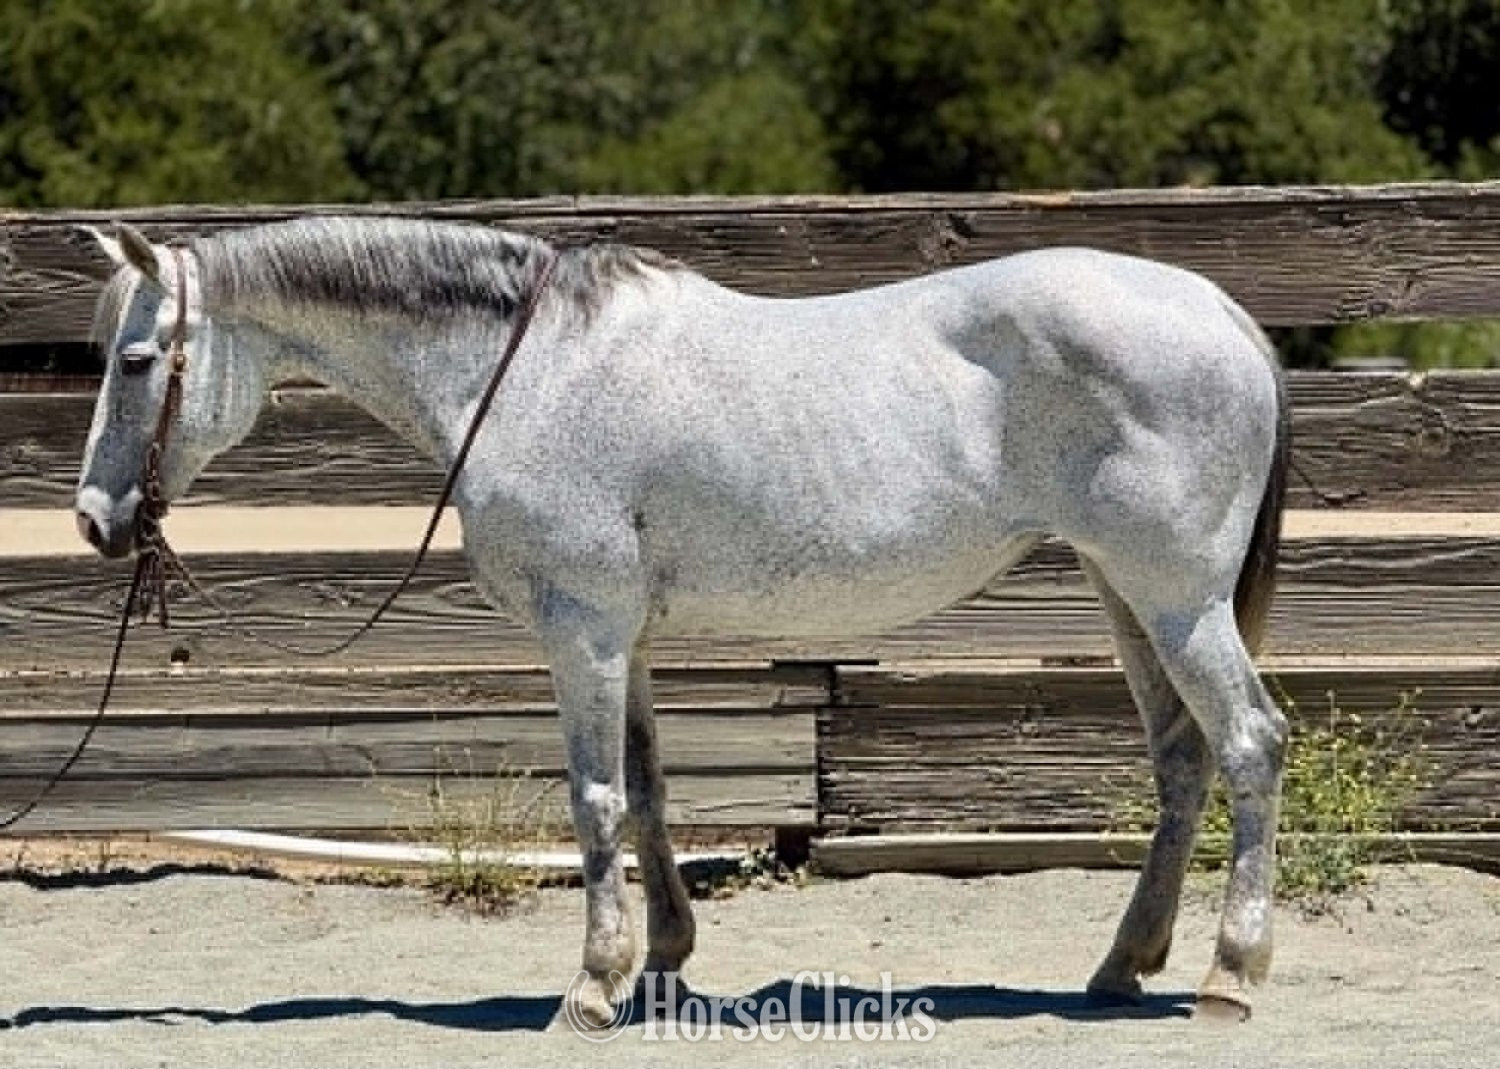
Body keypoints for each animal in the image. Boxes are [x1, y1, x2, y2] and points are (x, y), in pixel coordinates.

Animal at [76, 216, 1289, 1025]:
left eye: (135, 359)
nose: (96, 520)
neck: (529, 373)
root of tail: (1222, 309)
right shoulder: (628, 636)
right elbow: (652, 790)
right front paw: (660, 958)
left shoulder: (580, 630)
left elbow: (595, 798)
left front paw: (591, 985)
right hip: (1127, 593)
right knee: (1181, 760)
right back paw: (1123, 965)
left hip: (1177, 598)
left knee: (1249, 744)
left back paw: (1230, 975)